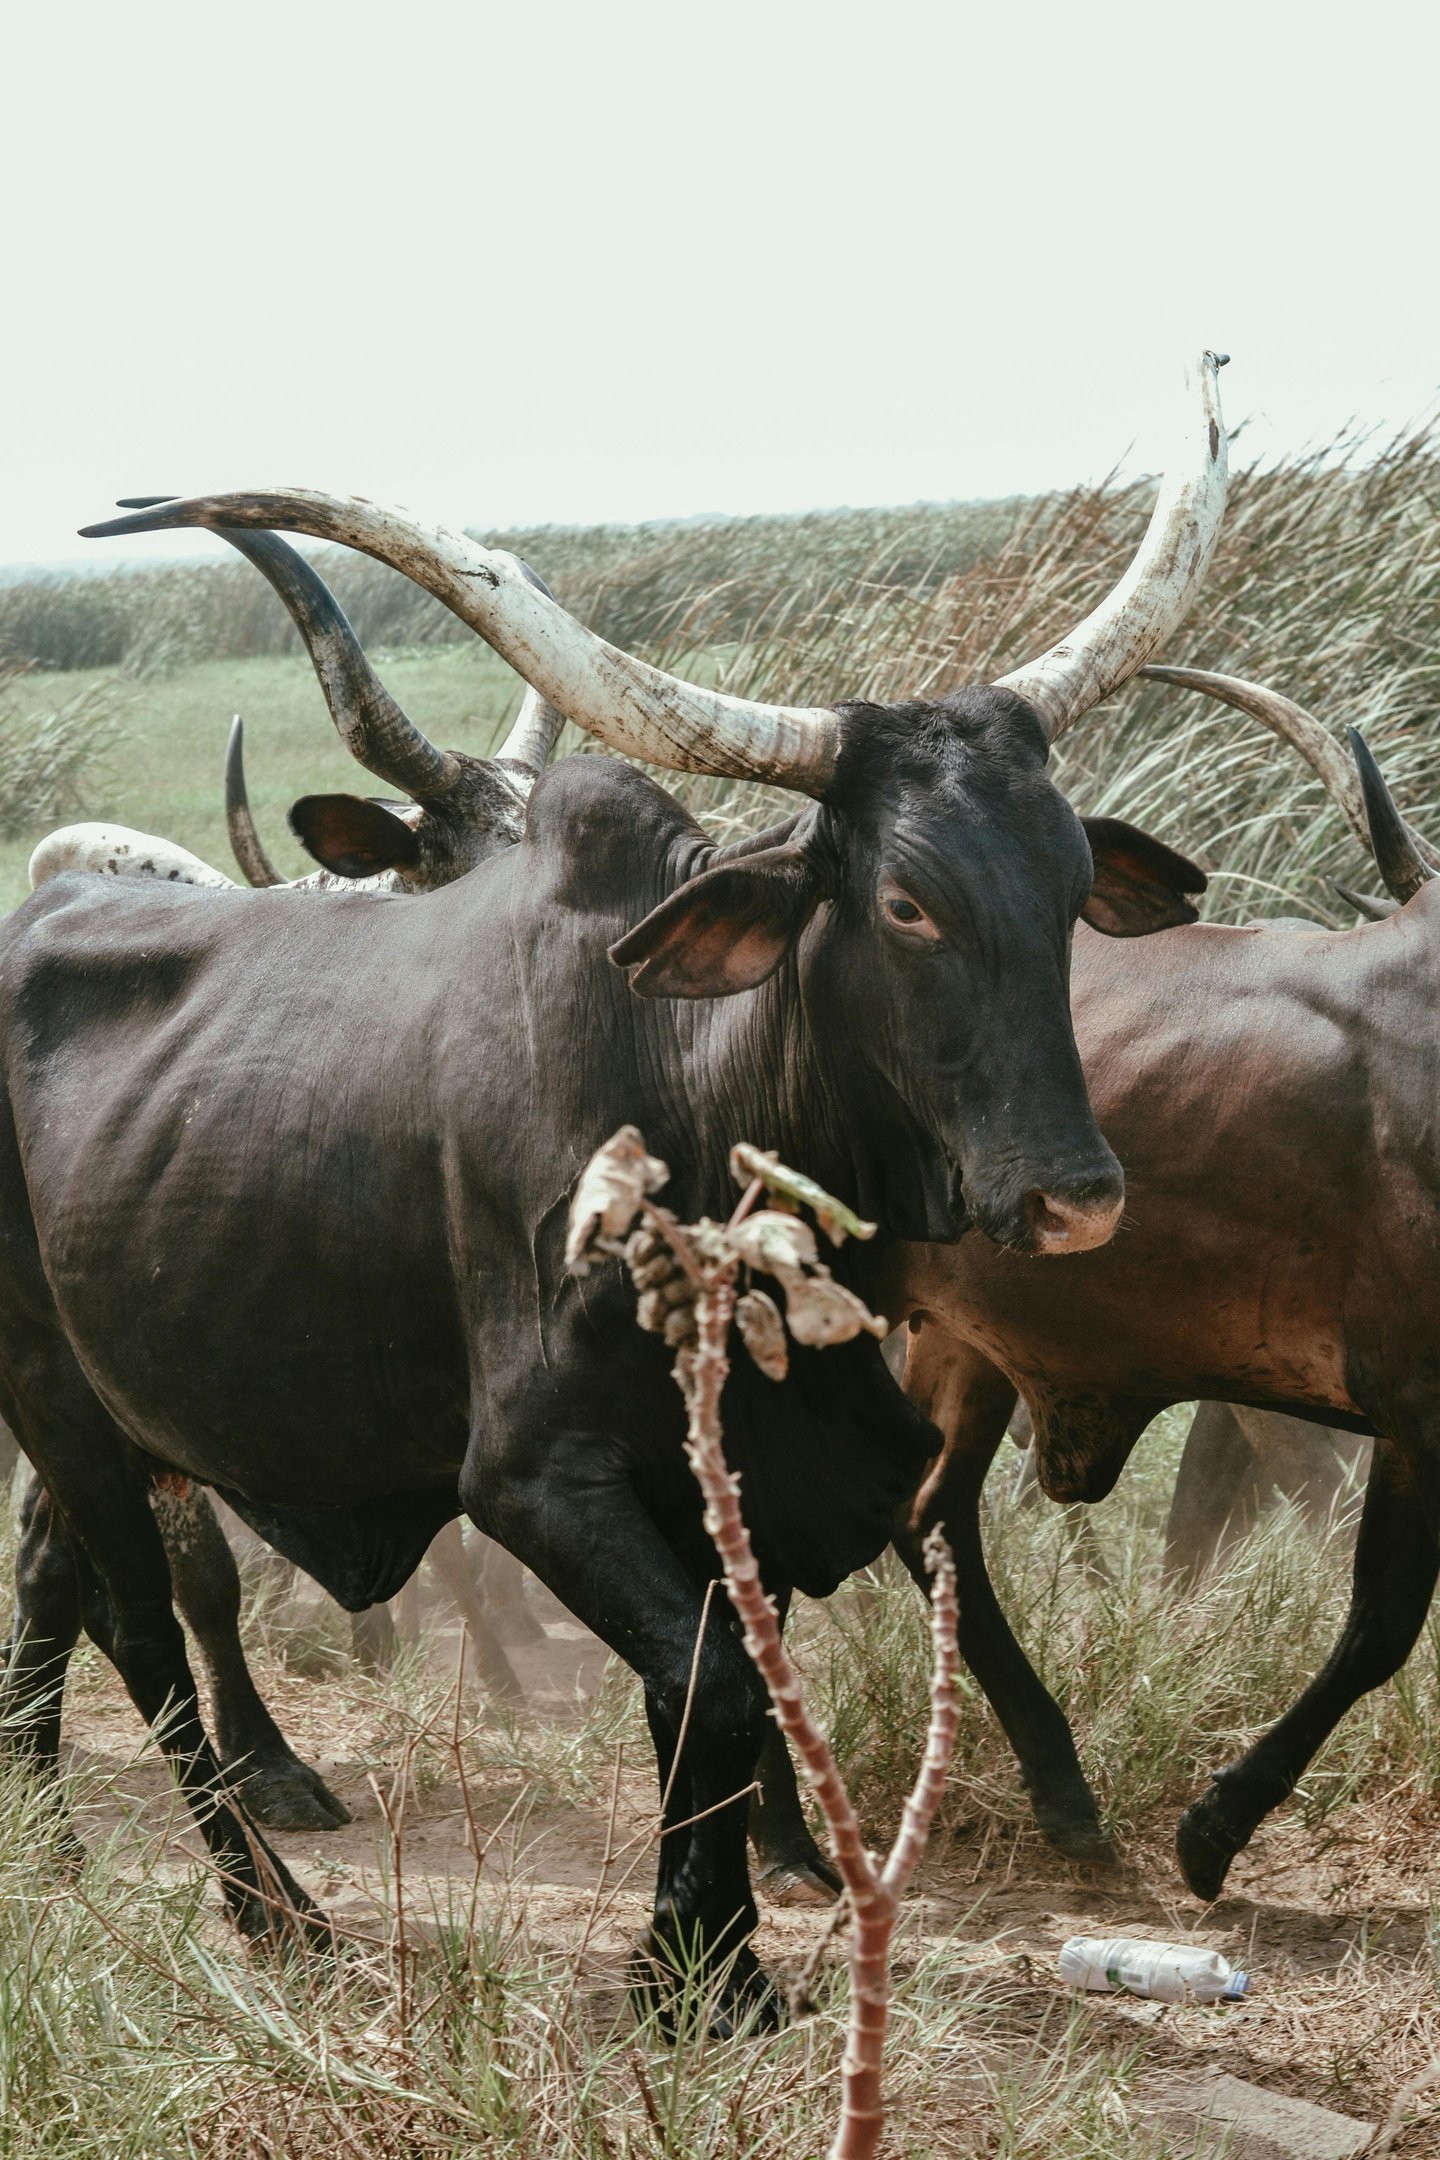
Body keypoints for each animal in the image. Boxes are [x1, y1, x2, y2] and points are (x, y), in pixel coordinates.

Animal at [0, 357, 1225, 2022]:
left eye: (1068, 890)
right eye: (906, 902)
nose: (1075, 1195)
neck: (692, 1100)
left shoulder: (740, 1474)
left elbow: (720, 1697)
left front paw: (726, 1952)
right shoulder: (536, 1475)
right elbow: (709, 1689)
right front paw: (688, 1969)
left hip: (125, 1402)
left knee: (72, 1590)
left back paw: (72, 1837)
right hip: (55, 1396)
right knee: (136, 1625)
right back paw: (269, 1909)